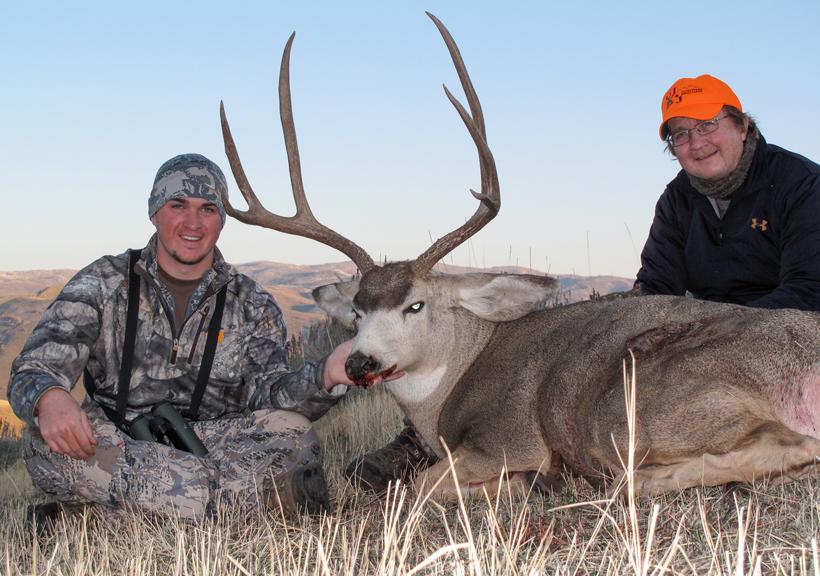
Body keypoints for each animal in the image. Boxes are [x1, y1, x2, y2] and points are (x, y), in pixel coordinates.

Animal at [218, 13, 820, 498]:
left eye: (416, 304)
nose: (360, 362)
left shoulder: (507, 437)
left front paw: (518, 483)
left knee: (785, 446)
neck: (453, 384)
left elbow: (416, 488)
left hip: (628, 409)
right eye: (358, 311)